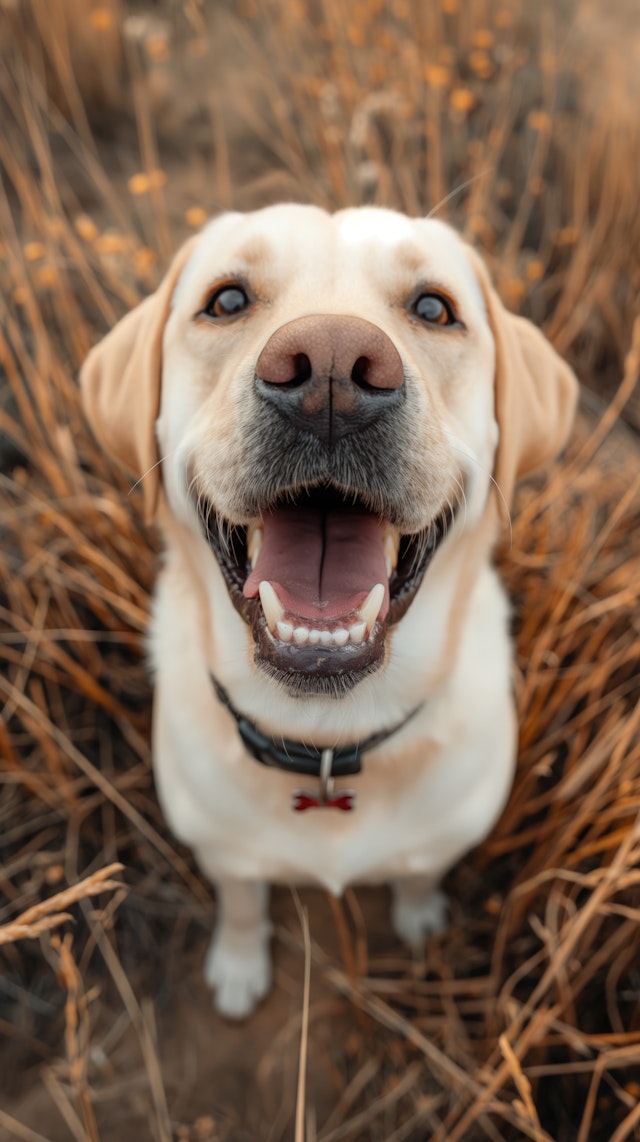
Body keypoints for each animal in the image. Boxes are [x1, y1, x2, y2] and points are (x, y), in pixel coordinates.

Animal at [81, 205, 580, 1018]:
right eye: (225, 300)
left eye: (434, 309)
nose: (333, 368)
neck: (325, 738)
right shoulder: (223, 852)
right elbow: (243, 900)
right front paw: (239, 966)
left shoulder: (447, 833)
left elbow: (419, 871)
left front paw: (420, 920)